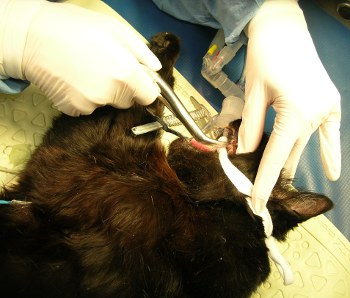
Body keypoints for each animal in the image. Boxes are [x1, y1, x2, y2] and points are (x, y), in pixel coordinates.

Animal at [0, 32, 334, 298]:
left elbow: (141, 104)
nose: (241, 116)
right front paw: (159, 48)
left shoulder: (87, 150)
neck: (210, 208)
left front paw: (161, 49)